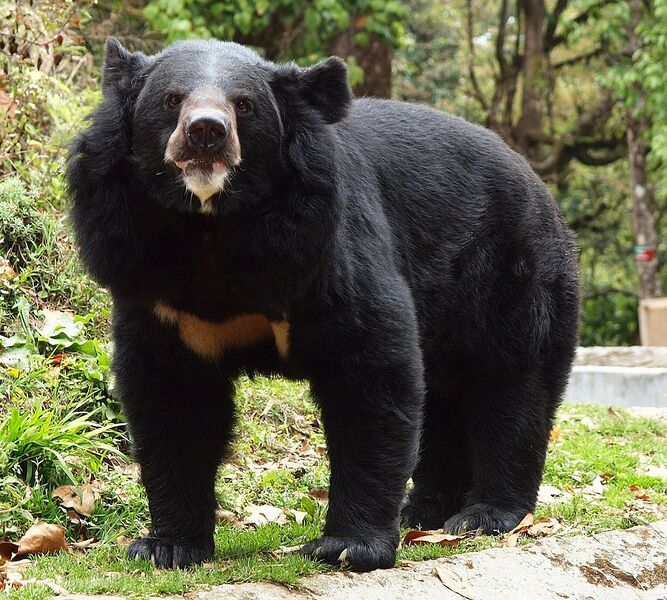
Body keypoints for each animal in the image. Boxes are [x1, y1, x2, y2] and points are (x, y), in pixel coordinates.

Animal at [67, 37, 579, 572]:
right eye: (172, 99)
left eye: (243, 105)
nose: (206, 131)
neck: (212, 225)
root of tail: (541, 188)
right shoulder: (150, 280)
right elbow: (172, 397)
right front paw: (166, 546)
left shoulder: (323, 246)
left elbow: (371, 371)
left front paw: (348, 545)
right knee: (444, 398)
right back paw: (425, 512)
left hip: (510, 275)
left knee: (510, 384)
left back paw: (487, 514)